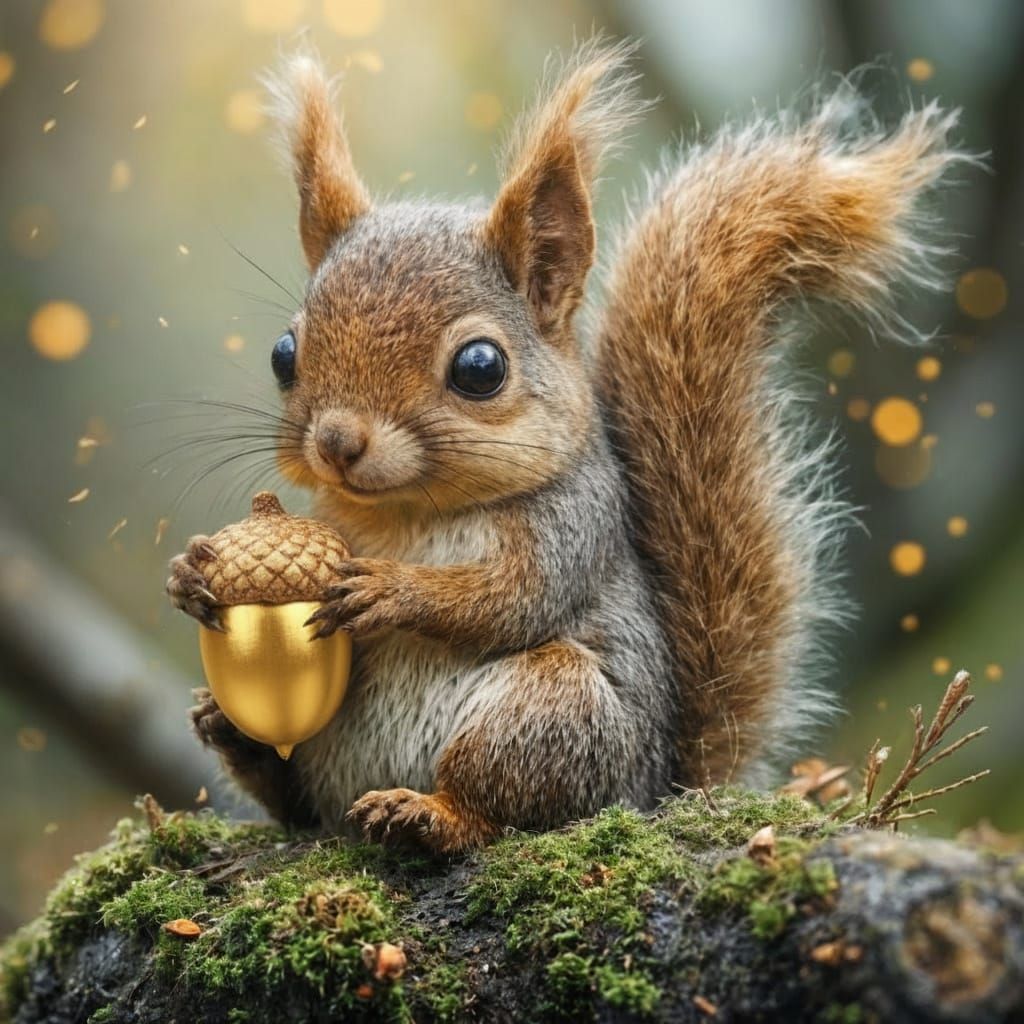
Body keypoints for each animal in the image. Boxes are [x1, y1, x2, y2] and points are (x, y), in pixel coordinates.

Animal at [167, 40, 963, 853]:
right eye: (283, 354)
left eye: (480, 368)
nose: (336, 443)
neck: (407, 516)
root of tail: (656, 787)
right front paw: (191, 575)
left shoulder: (573, 522)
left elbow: (512, 598)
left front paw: (392, 590)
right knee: (292, 801)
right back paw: (231, 732)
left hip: (552, 713)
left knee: (499, 803)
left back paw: (428, 813)